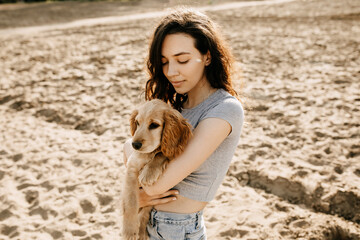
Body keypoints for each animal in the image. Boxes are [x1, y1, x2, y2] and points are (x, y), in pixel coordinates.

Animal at [122, 98, 193, 239]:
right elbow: (131, 201)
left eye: (154, 125)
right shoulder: (131, 169)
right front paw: (129, 230)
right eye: (137, 123)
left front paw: (148, 173)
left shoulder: (170, 150)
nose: (135, 145)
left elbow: (161, 153)